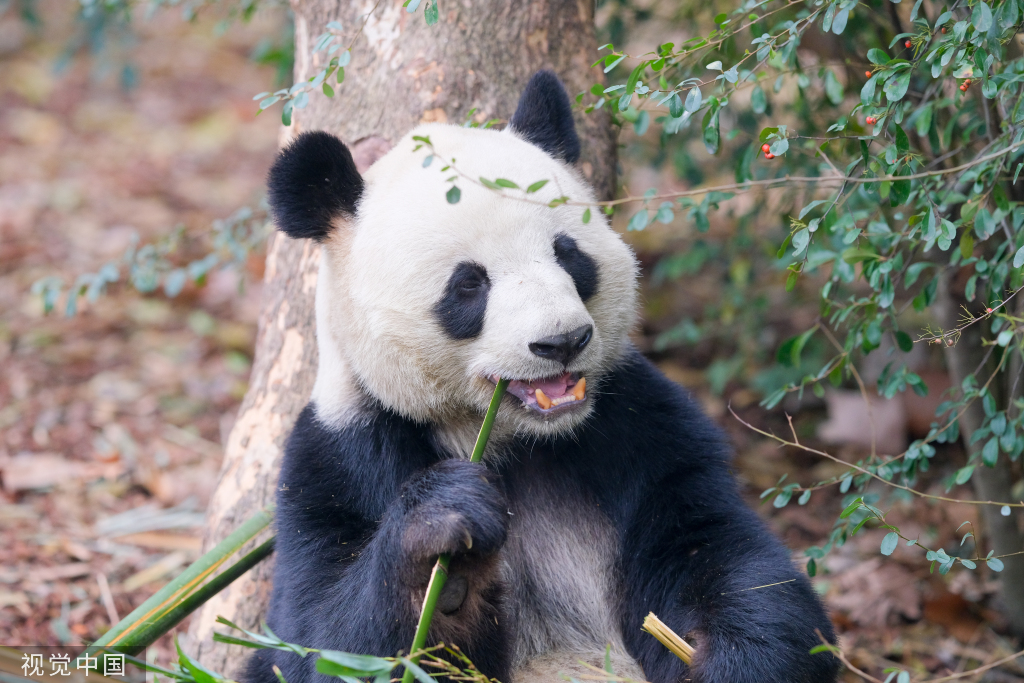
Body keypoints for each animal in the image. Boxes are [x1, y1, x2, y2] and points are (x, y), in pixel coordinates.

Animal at [247, 70, 839, 683]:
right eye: (468, 284)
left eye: (567, 253)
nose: (562, 341)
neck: (515, 442)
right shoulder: (338, 459)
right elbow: (314, 640)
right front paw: (444, 544)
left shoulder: (640, 427)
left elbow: (722, 557)